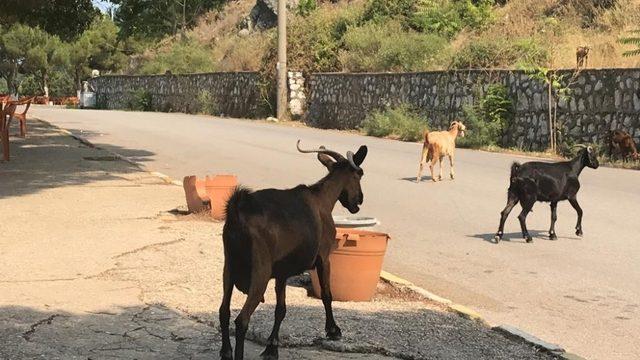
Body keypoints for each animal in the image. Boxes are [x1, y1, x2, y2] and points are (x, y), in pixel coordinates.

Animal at [220, 141, 370, 360]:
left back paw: (226, 352)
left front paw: (272, 348)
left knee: (223, 311)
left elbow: (280, 309)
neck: (323, 199)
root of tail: (237, 213)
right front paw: (333, 330)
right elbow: (327, 294)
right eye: (359, 174)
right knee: (242, 320)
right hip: (260, 270)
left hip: (229, 267)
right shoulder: (324, 257)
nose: (359, 200)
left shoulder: (282, 271)